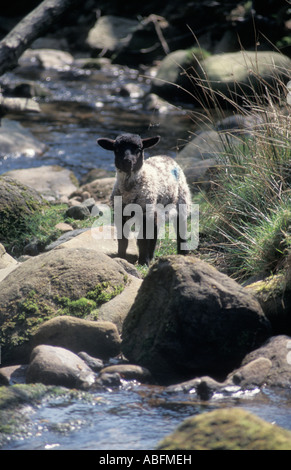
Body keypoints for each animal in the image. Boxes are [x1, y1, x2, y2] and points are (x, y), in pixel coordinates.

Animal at [98, 133, 193, 264]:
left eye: (139, 149)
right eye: (116, 149)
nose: (127, 162)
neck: (129, 189)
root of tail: (166, 156)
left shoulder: (145, 212)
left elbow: (142, 239)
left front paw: (143, 262)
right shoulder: (119, 213)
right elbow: (123, 239)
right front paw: (121, 257)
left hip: (182, 201)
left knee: (181, 229)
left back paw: (182, 253)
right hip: (157, 209)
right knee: (155, 231)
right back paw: (152, 256)